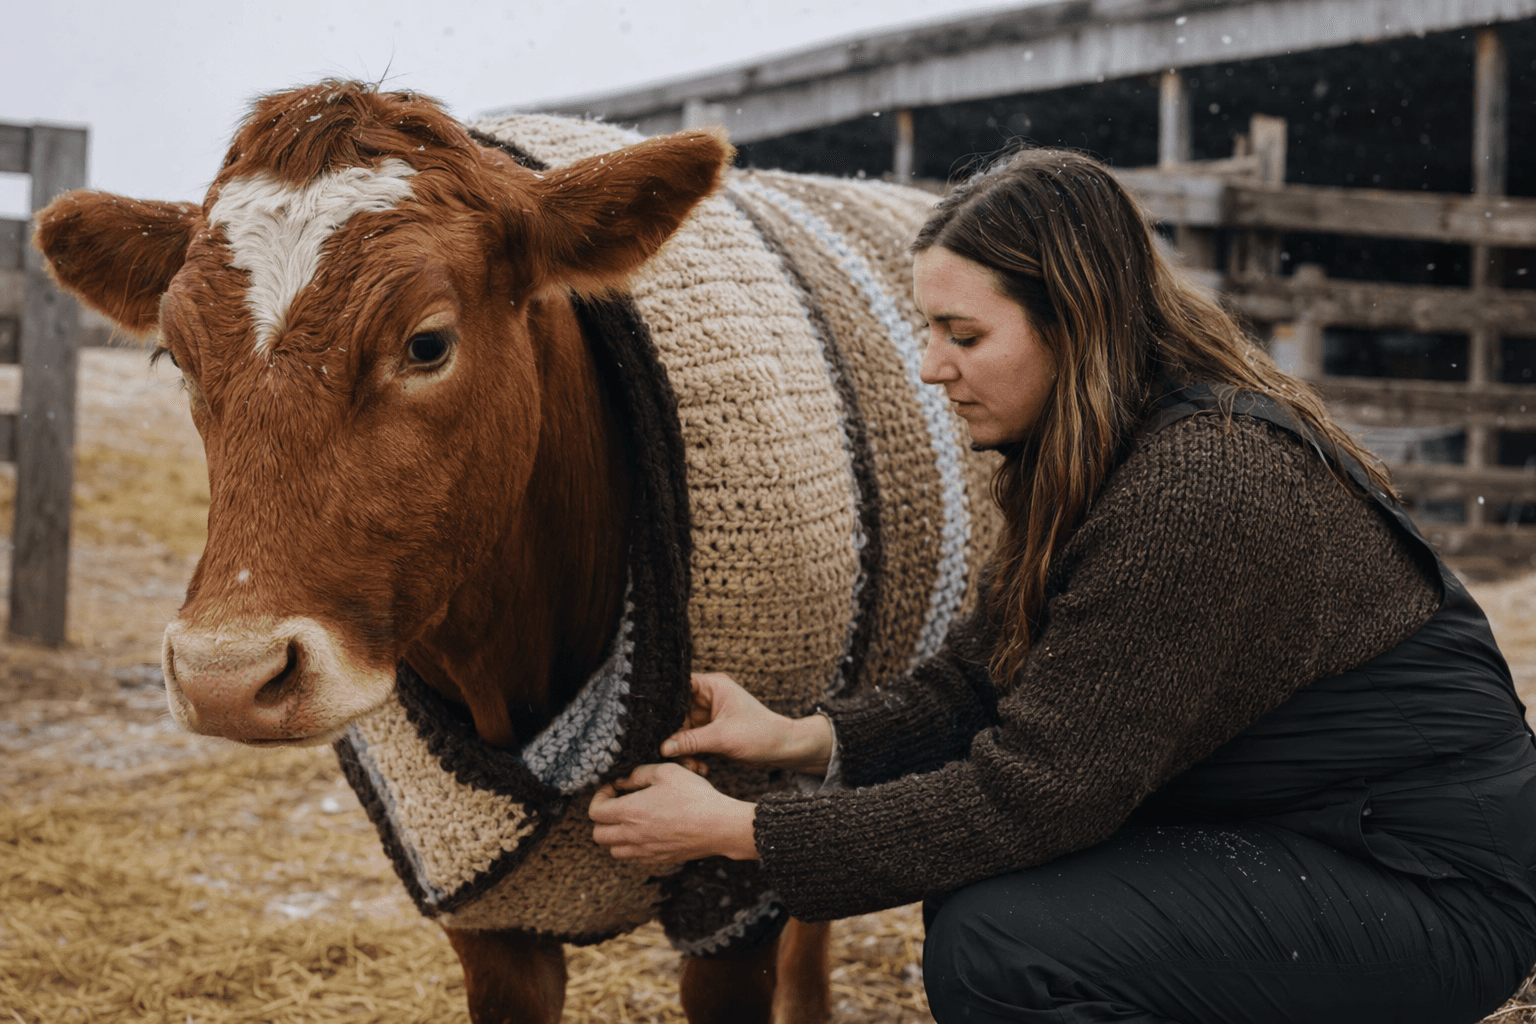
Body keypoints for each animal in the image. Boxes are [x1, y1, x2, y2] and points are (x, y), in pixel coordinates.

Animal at [34, 80, 999, 1024]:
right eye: (175, 357)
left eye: (428, 342)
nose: (225, 677)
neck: (514, 658)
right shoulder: (481, 907)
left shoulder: (735, 882)